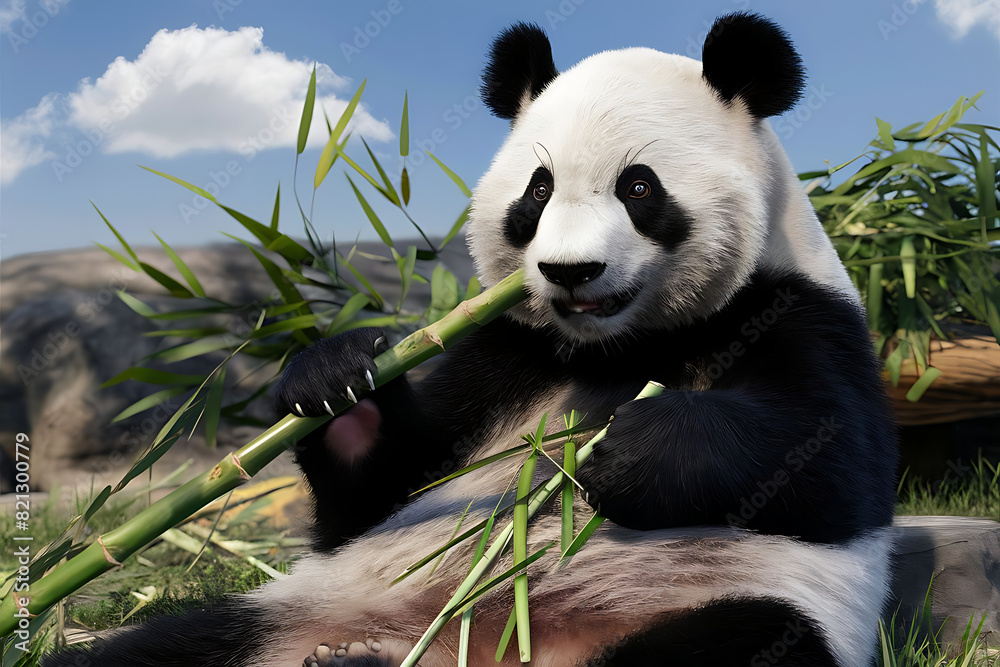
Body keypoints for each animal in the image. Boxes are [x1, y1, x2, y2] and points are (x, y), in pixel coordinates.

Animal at [43, 12, 898, 667]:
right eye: (538, 191)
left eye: (639, 187)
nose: (570, 271)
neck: (618, 344)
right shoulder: (503, 347)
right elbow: (379, 490)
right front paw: (334, 378)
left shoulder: (802, 312)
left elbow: (828, 463)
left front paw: (631, 449)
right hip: (294, 607)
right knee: (164, 645)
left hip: (720, 602)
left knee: (738, 639)